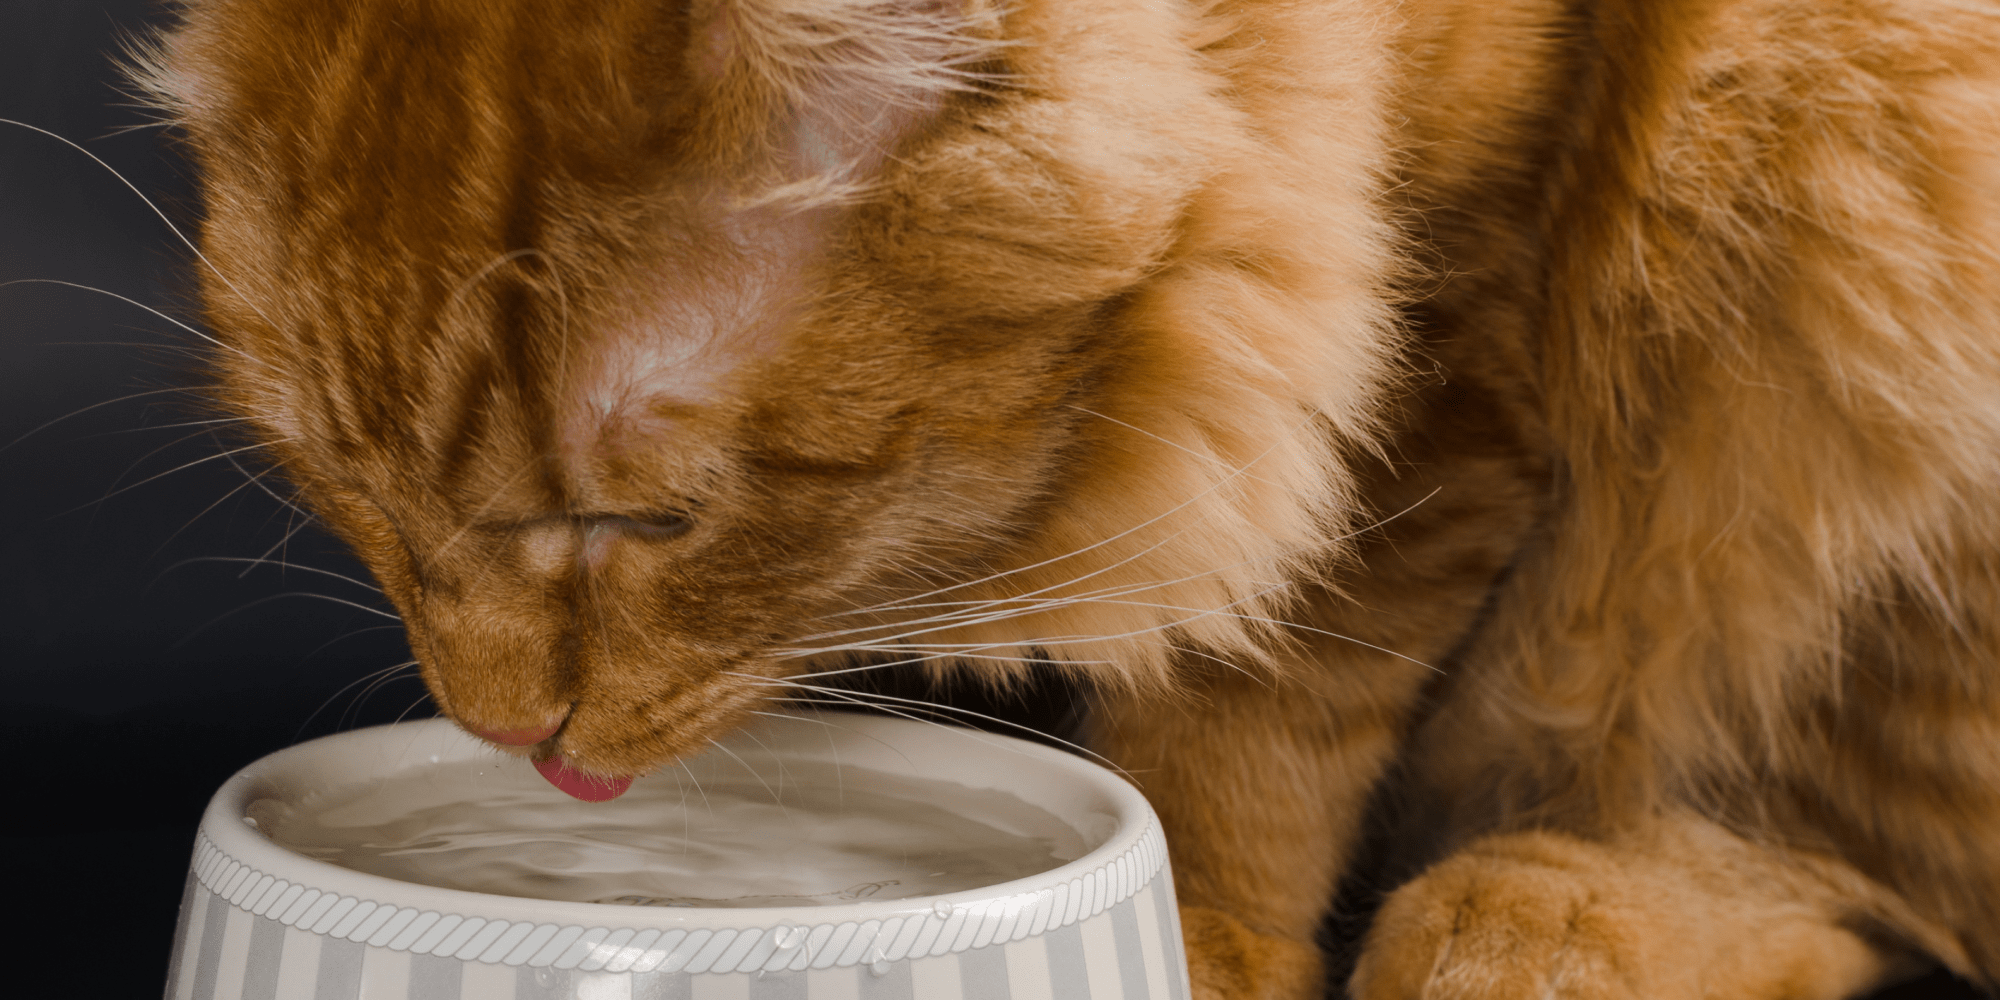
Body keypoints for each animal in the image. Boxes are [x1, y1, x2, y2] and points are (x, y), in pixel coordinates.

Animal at [137, 0, 2000, 996]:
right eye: (357, 497)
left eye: (641, 525)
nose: (509, 733)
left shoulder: (1449, 329)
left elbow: (1263, 712)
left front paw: (1209, 940)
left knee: (1825, 861)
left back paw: (1539, 921)